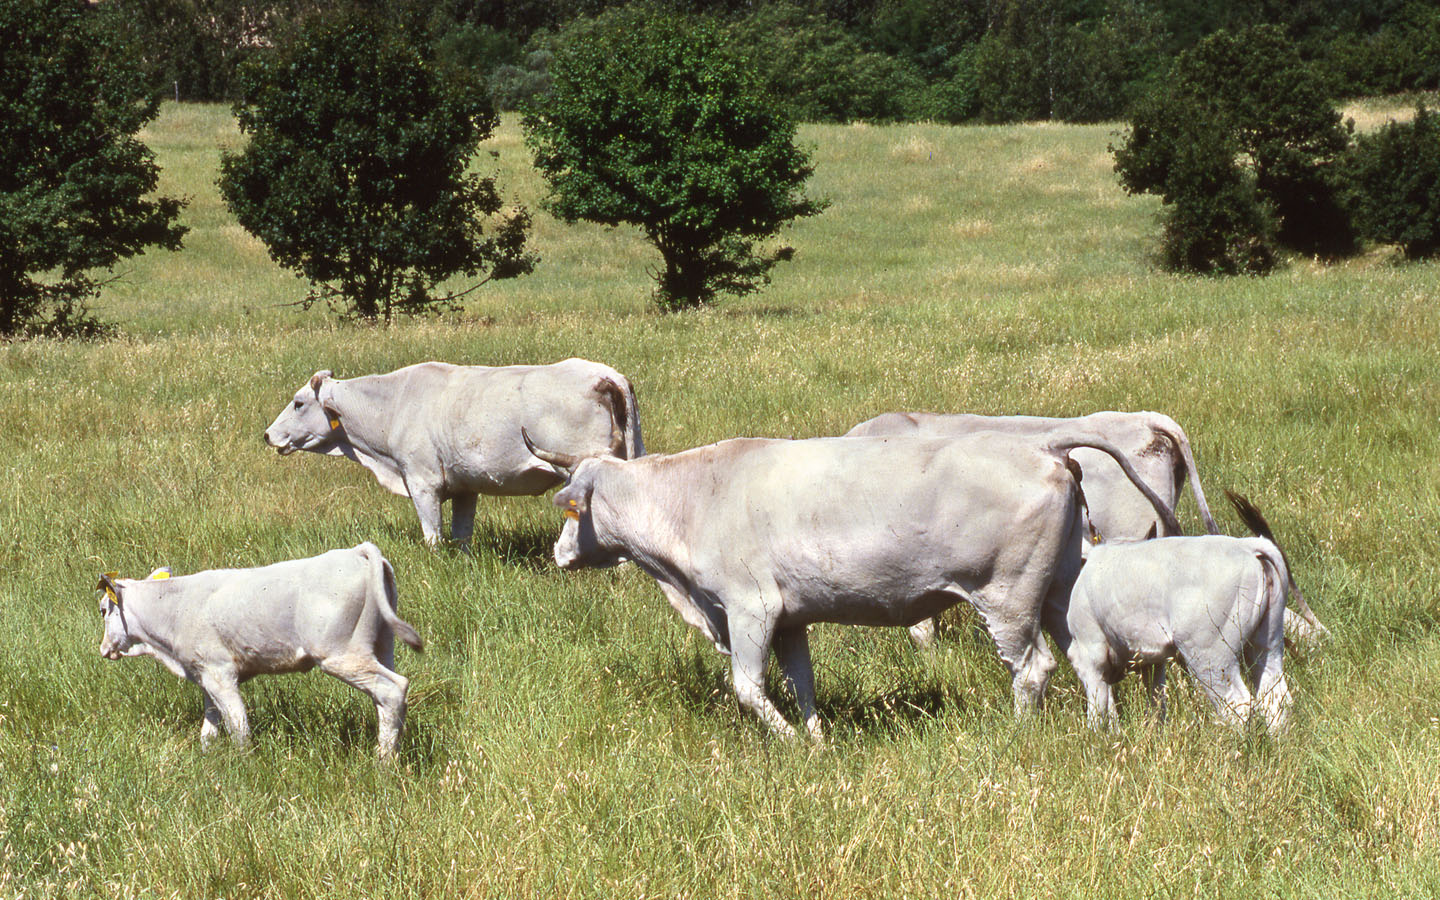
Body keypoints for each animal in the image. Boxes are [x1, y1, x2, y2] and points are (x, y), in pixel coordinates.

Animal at [94, 544, 420, 754]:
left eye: (103, 610)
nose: (103, 649)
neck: (176, 606)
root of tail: (356, 552)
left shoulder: (220, 674)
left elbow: (238, 725)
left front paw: (245, 763)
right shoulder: (204, 676)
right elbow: (209, 727)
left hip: (342, 655)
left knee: (393, 689)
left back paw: (383, 762)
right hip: (382, 647)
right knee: (384, 700)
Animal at [524, 429, 1175, 737]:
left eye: (572, 510)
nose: (558, 554)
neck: (695, 497)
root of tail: (1041, 444)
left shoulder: (749, 609)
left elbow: (748, 688)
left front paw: (790, 745)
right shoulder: (789, 620)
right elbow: (802, 684)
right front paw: (817, 742)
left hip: (1007, 596)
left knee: (1033, 667)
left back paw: (1019, 736)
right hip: (1061, 586)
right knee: (1086, 658)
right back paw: (1100, 732)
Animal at [1071, 492, 1296, 737]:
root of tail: (1246, 546)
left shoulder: (1089, 653)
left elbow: (1098, 707)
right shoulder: (1152, 660)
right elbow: (1156, 704)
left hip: (1210, 655)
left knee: (1238, 703)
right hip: (1267, 641)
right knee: (1275, 696)